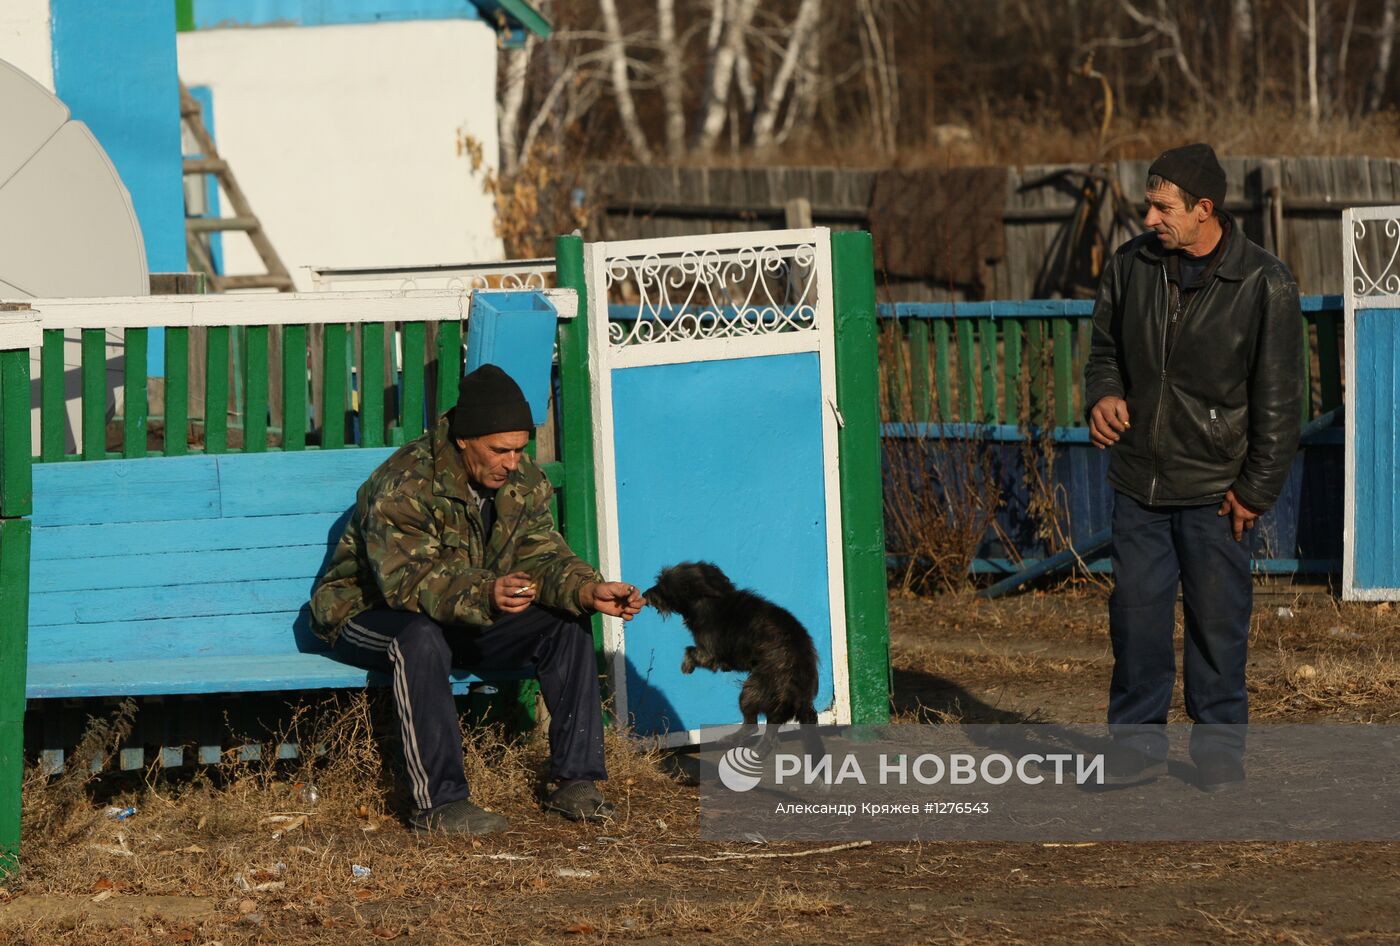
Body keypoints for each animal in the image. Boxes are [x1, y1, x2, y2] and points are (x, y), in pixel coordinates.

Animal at [641, 556, 817, 727]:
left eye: (662, 585)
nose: (644, 594)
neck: (705, 598)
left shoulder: (708, 653)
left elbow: (690, 650)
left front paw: (686, 666)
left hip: (752, 691)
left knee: (752, 725)